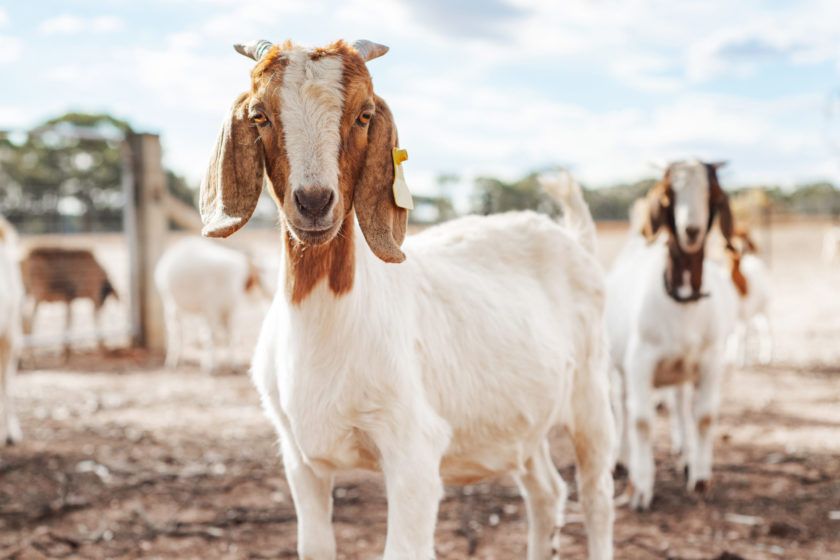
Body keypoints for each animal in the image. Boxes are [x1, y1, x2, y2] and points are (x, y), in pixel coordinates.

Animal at [200, 39, 612, 560]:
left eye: (364, 115)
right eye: (259, 115)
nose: (313, 202)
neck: (329, 323)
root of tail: (574, 239)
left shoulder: (413, 454)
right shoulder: (300, 460)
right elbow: (313, 545)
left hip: (591, 396)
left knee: (596, 497)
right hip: (524, 417)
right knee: (546, 493)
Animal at [608, 160, 740, 510]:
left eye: (711, 193)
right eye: (670, 195)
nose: (691, 231)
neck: (682, 298)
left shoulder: (709, 361)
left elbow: (704, 416)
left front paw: (700, 478)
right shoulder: (640, 363)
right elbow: (641, 420)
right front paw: (640, 488)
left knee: (680, 407)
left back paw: (686, 456)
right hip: (614, 365)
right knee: (621, 407)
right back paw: (620, 459)